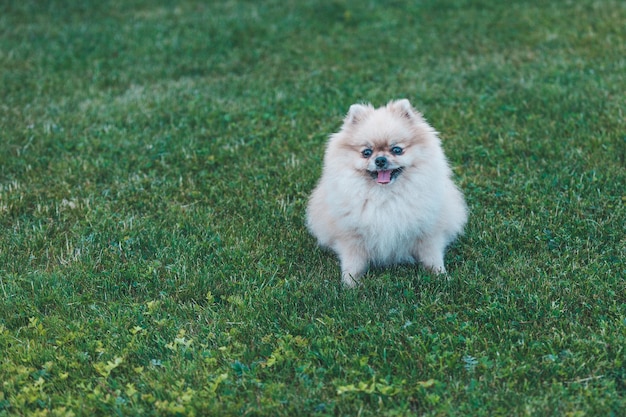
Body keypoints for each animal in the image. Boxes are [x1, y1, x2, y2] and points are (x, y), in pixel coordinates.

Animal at [304, 98, 466, 286]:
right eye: (366, 153)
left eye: (397, 150)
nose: (380, 160)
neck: (385, 196)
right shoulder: (351, 237)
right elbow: (353, 262)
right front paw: (350, 283)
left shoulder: (428, 231)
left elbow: (431, 256)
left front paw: (440, 276)